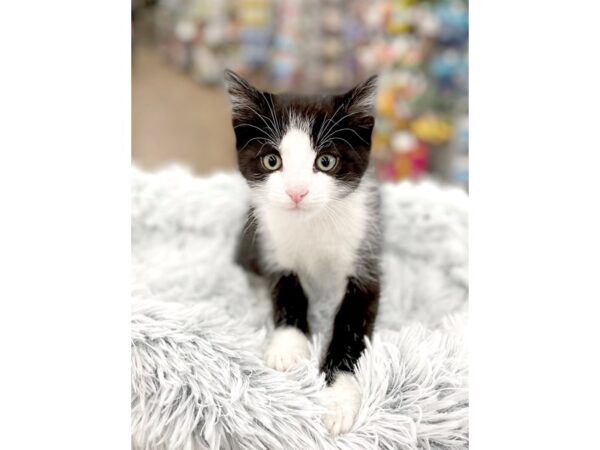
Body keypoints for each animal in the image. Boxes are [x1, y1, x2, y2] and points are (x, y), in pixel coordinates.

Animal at [223, 70, 382, 436]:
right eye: (272, 160)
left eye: (326, 161)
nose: (297, 192)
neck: (313, 224)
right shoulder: (272, 245)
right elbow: (286, 290)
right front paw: (288, 346)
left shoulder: (367, 258)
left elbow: (351, 325)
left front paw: (337, 399)